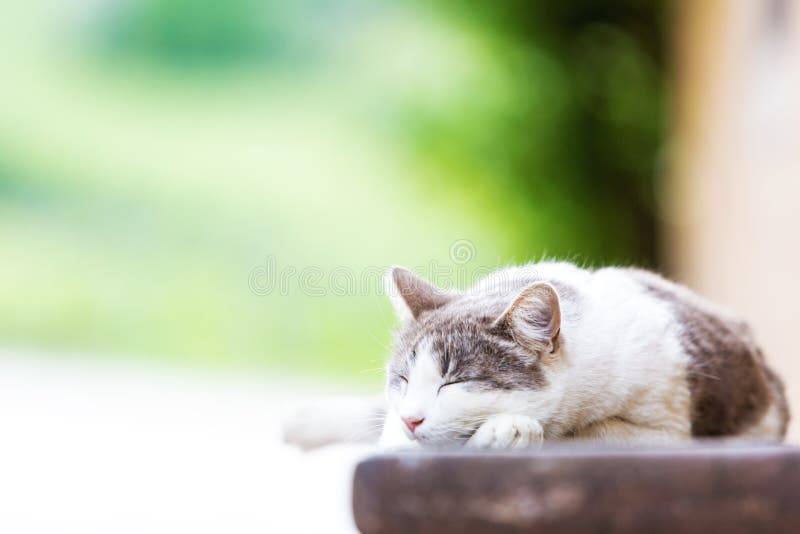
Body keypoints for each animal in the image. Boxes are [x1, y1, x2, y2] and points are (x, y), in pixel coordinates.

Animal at [282, 262, 788, 450]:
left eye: (456, 382)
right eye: (403, 380)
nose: (411, 418)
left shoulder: (666, 428)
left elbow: (585, 431)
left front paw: (511, 429)